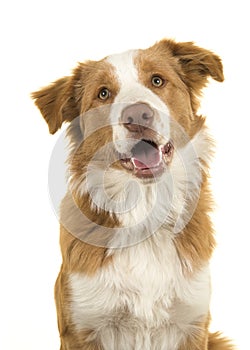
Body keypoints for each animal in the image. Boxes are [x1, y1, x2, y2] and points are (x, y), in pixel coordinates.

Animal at [31, 38, 234, 350]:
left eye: (157, 80)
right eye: (103, 93)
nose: (137, 115)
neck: (145, 212)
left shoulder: (193, 323)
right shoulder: (81, 326)